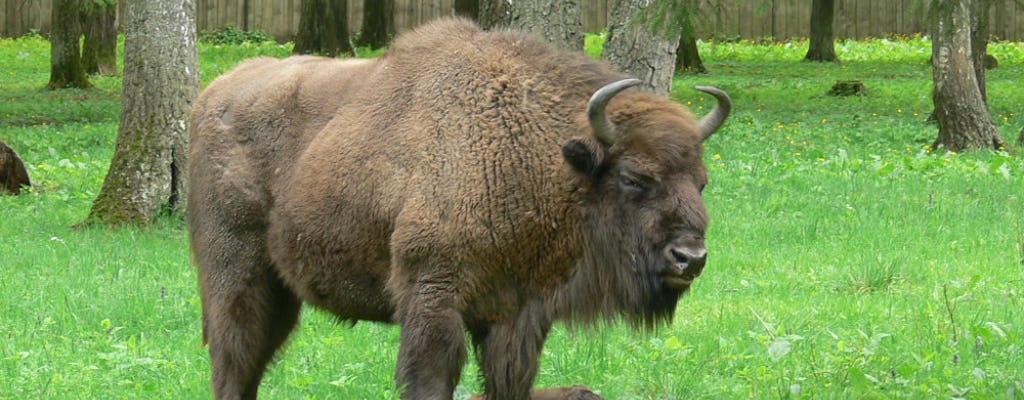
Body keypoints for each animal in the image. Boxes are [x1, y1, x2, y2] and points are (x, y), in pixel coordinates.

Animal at [188, 17, 733, 398]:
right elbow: (432, 379)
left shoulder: (516, 316)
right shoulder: (435, 299)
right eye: (634, 177)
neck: (537, 154)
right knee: (235, 357)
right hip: (236, 275)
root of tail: (213, 95)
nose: (690, 258)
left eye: (701, 182)